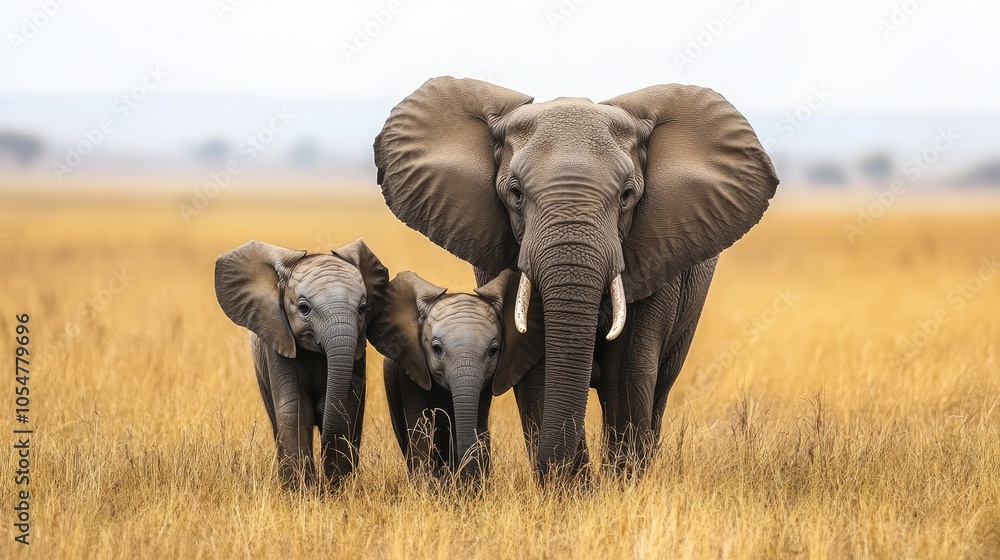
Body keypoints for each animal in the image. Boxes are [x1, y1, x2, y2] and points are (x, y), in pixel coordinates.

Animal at [214, 238, 388, 488]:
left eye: (362, 309)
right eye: (304, 308)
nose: (323, 484)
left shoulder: (357, 348)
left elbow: (345, 408)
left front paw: (339, 489)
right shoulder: (278, 343)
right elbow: (295, 410)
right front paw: (300, 492)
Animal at [367, 269, 544, 483]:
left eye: (493, 351)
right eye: (436, 349)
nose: (455, 475)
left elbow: (477, 421)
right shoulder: (411, 371)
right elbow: (421, 425)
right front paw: (429, 484)